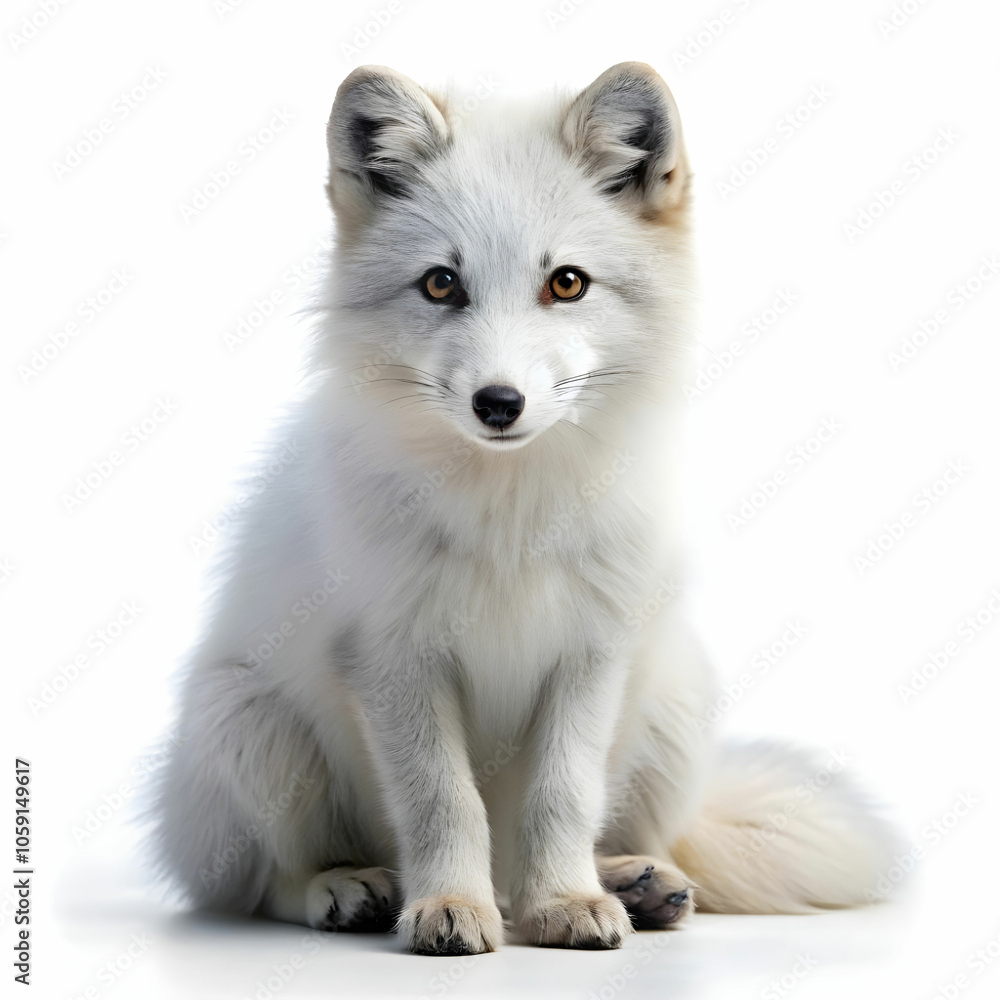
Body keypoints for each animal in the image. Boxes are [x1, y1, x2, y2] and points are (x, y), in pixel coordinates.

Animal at [149, 62, 896, 954]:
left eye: (565, 282)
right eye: (441, 283)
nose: (498, 403)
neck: (509, 518)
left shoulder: (592, 655)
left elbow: (562, 797)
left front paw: (564, 902)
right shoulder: (393, 658)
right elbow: (443, 801)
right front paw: (448, 906)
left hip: (676, 692)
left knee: (625, 834)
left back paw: (628, 883)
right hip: (249, 727)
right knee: (257, 887)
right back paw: (352, 889)